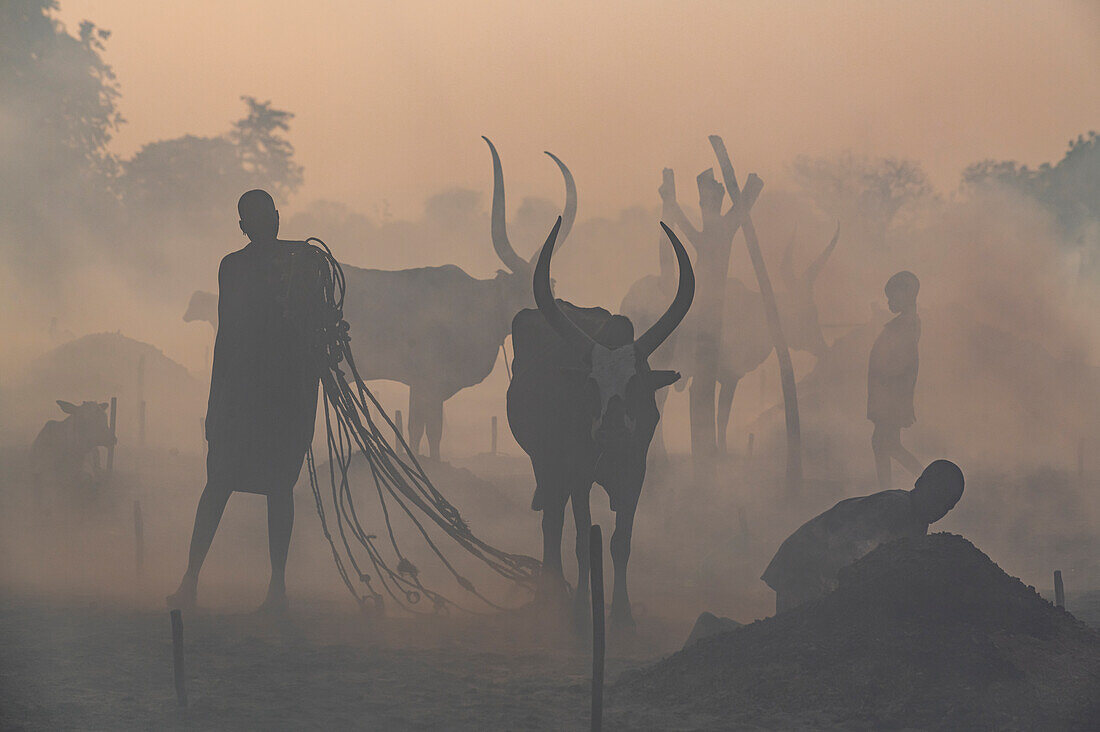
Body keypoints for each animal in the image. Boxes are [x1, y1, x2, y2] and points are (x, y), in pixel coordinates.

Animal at [508, 216, 695, 629]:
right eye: (591, 383)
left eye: (636, 382)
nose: (612, 430)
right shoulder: (577, 472)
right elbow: (581, 540)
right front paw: (580, 611)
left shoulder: (635, 472)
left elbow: (620, 542)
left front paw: (623, 614)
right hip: (544, 462)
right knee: (553, 522)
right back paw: (549, 597)